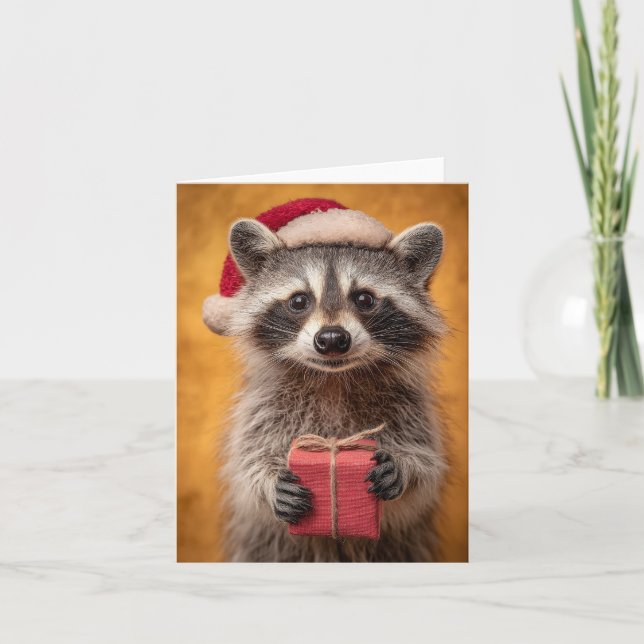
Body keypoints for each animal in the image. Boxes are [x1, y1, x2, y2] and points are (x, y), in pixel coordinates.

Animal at [207, 207, 448, 562]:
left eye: (365, 299)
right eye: (298, 301)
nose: (333, 338)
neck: (333, 379)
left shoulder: (409, 406)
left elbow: (425, 472)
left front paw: (406, 467)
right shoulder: (262, 406)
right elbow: (247, 465)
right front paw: (267, 479)